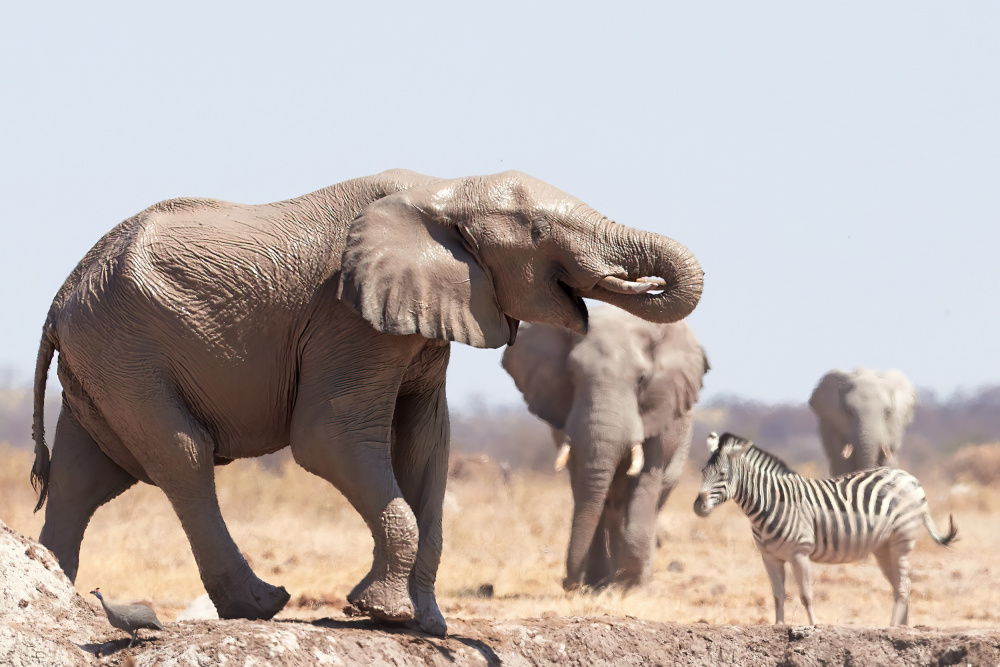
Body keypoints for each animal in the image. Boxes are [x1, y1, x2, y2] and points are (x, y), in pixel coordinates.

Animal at [500, 306, 712, 588]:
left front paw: (630, 585)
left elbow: (644, 480)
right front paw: (598, 585)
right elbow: (586, 487)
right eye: (572, 375)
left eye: (642, 379)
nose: (567, 583)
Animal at [692, 434, 956, 628]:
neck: (769, 502)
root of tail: (909, 478)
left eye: (722, 474)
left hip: (903, 538)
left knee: (903, 585)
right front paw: (778, 626)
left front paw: (814, 626)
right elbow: (778, 595)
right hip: (884, 547)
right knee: (902, 584)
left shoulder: (799, 552)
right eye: (703, 473)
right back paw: (902, 627)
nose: (698, 506)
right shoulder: (769, 557)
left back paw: (892, 628)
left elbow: (806, 595)